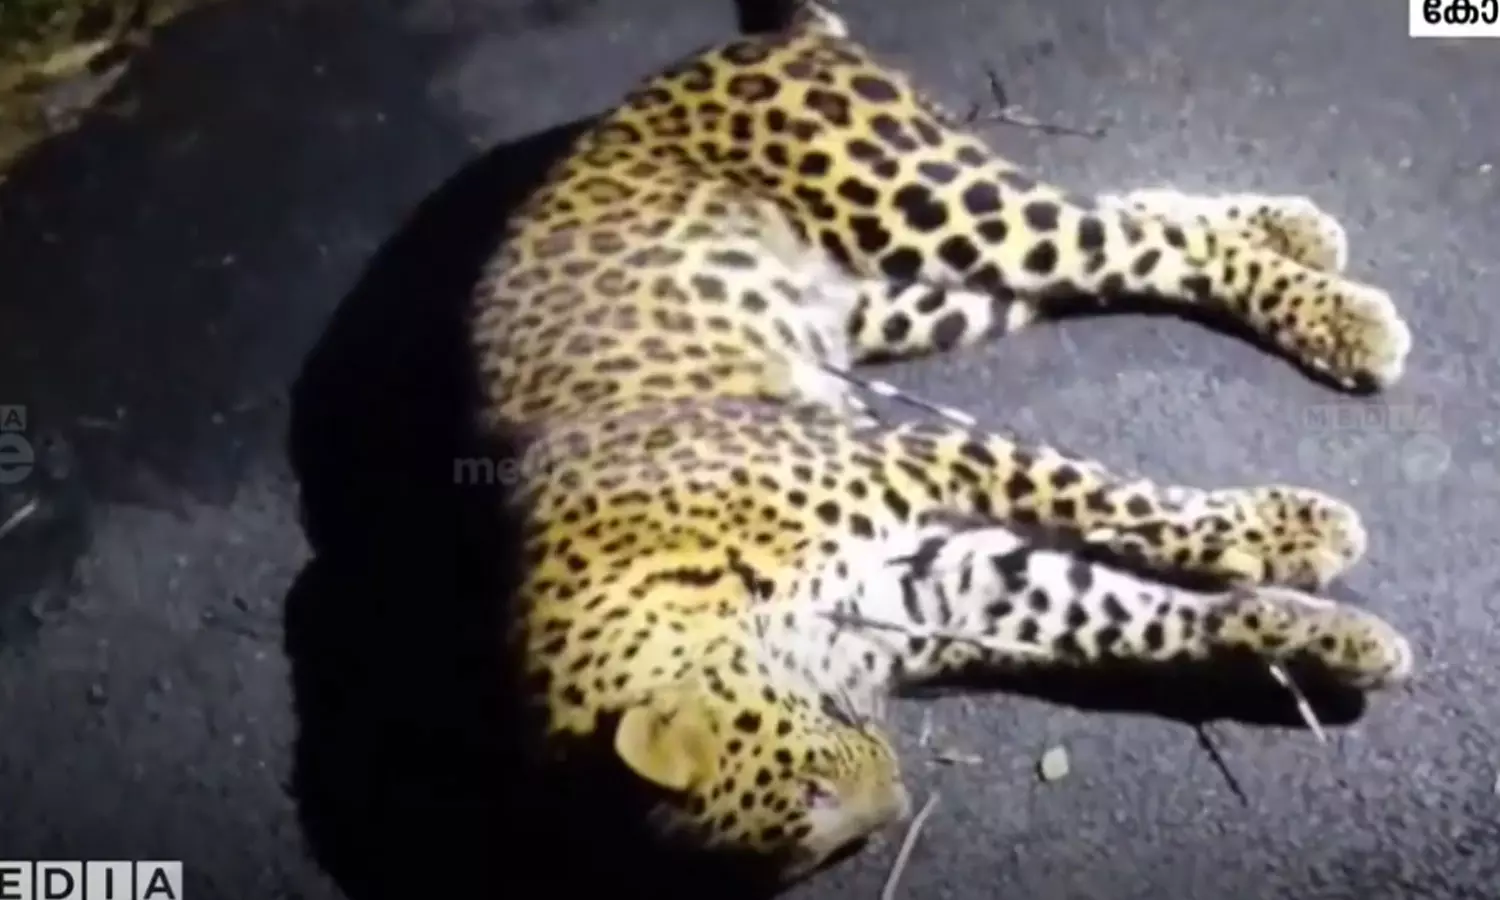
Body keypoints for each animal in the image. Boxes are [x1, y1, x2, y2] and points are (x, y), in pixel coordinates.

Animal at [470, 0, 1416, 888]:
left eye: (811, 783)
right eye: (815, 848)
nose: (893, 807)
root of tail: (764, 38)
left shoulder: (913, 458)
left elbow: (1102, 494)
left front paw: (1293, 534)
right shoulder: (950, 586)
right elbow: (1144, 618)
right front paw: (1335, 640)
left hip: (917, 197)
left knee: (1116, 238)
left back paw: (1343, 320)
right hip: (924, 299)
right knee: (1126, 234)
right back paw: (1295, 230)